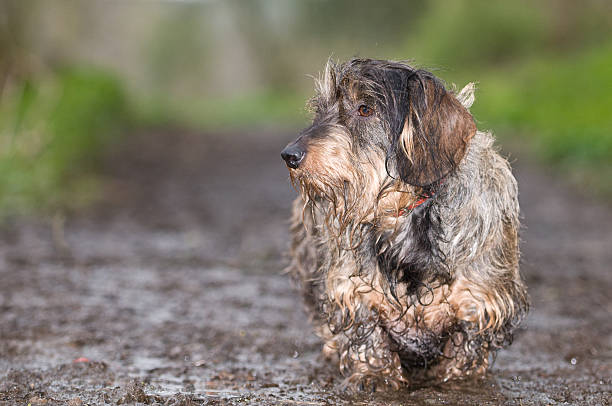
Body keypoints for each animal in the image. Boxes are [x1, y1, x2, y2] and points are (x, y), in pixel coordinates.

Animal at [280, 58, 528, 392]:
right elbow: (368, 338)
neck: (402, 214)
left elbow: (466, 347)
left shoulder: (480, 300)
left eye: (365, 108)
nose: (289, 155)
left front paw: (458, 380)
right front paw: (375, 375)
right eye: (321, 110)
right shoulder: (353, 292)